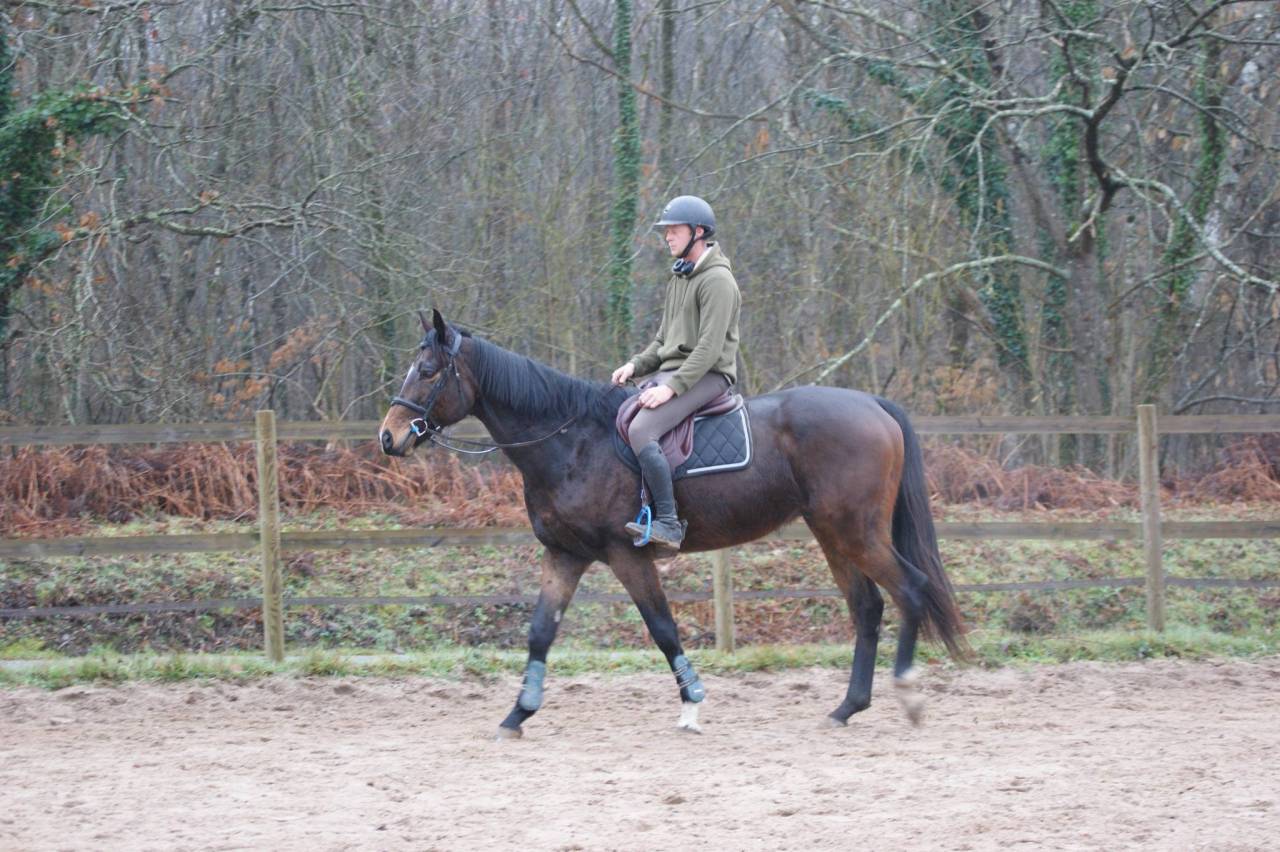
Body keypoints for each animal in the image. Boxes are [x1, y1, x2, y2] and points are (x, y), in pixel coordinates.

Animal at [379, 310, 966, 738]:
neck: (571, 441)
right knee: (866, 608)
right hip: (833, 534)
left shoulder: (626, 555)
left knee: (911, 589)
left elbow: (662, 628)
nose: (389, 437)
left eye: (427, 372)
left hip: (855, 533)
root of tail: (872, 403)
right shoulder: (565, 554)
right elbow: (541, 631)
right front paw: (518, 713)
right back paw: (848, 707)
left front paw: (692, 704)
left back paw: (907, 692)